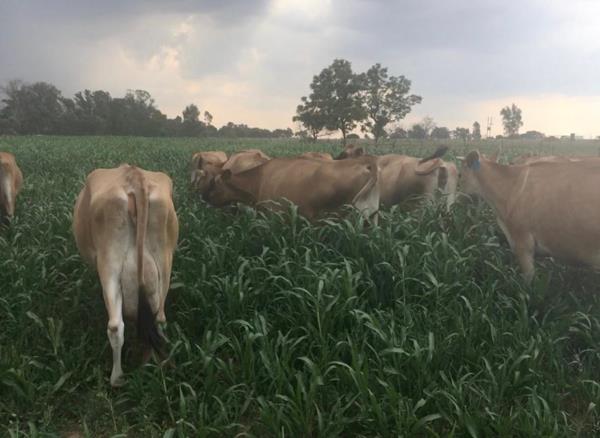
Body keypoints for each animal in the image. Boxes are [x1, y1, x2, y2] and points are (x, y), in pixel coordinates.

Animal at [73, 164, 179, 387]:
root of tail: (134, 177)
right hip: (164, 260)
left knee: (115, 326)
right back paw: (153, 363)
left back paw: (117, 378)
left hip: (109, 264)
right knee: (159, 318)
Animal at [204, 156, 380, 222]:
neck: (258, 181)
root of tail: (366, 161)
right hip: (371, 216)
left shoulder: (274, 213)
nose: (204, 197)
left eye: (215, 183)